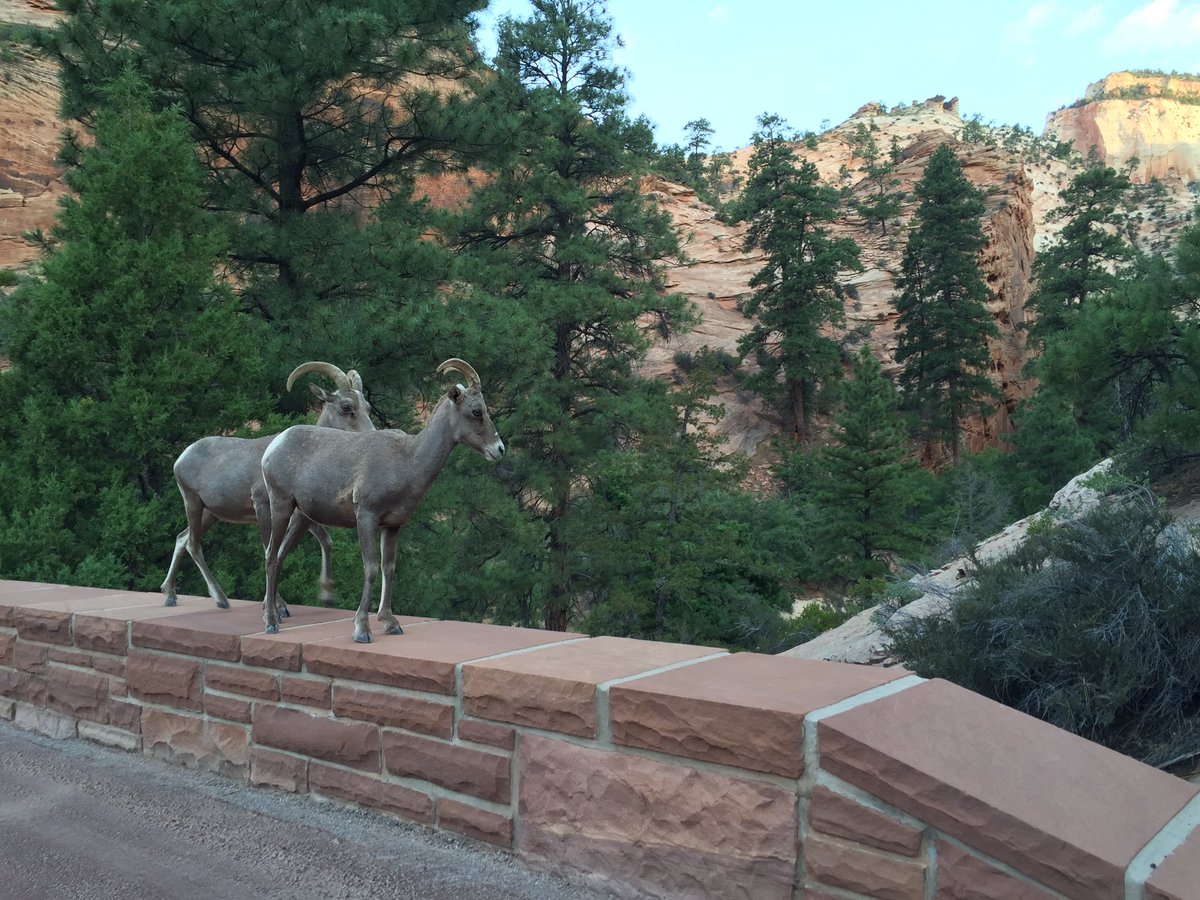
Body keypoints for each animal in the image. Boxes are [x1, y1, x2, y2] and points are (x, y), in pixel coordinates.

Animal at [160, 361, 375, 609]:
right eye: (346, 407)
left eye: (368, 408)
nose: (373, 436)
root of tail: (181, 459)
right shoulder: (265, 507)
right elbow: (269, 550)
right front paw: (277, 606)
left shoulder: (302, 516)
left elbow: (324, 541)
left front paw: (327, 596)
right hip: (193, 503)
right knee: (193, 544)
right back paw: (220, 599)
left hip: (211, 514)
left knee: (182, 538)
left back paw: (169, 595)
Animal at [260, 359, 505, 641]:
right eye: (476, 411)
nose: (499, 449)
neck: (409, 460)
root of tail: (275, 446)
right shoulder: (366, 517)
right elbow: (371, 569)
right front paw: (362, 629)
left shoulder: (393, 525)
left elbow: (389, 568)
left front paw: (390, 623)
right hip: (281, 506)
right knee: (270, 555)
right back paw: (271, 622)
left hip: (301, 518)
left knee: (279, 555)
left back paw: (276, 615)